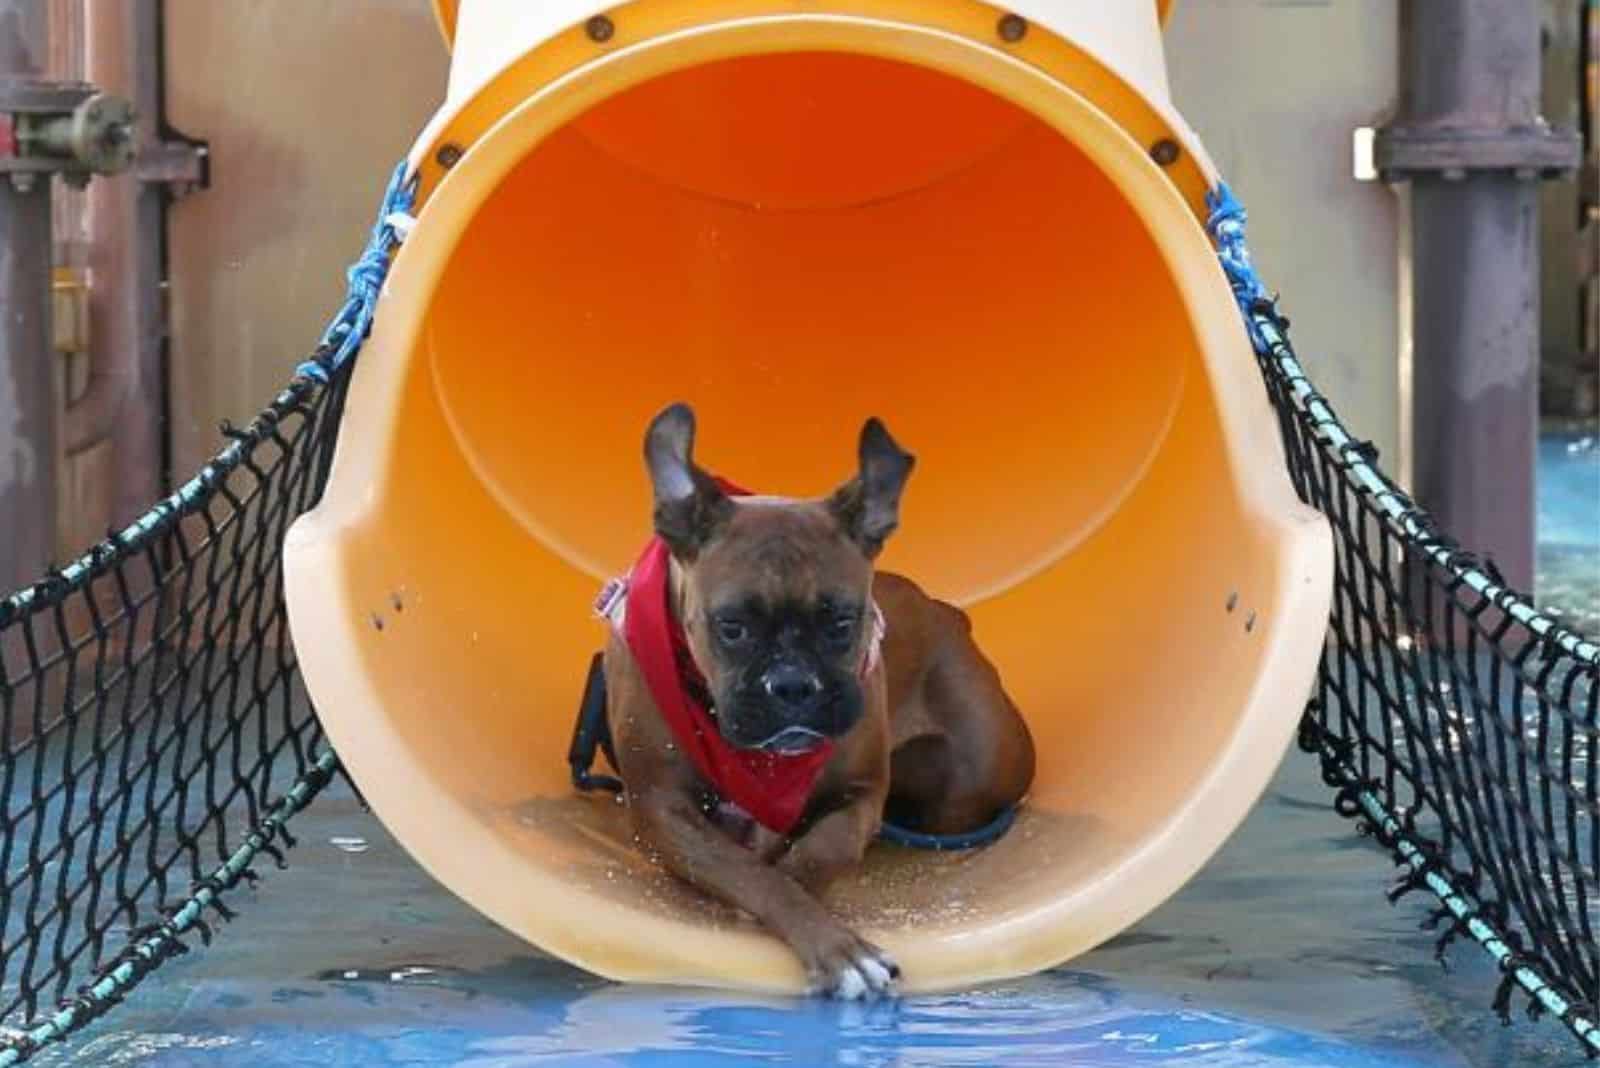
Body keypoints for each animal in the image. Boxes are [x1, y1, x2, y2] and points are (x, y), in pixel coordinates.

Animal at [601, 404, 1036, 997]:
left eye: (843, 621)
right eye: (731, 626)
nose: (793, 686)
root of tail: (945, 611)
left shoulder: (863, 794)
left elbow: (823, 848)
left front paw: (814, 908)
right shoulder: (660, 808)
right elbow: (750, 872)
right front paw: (830, 941)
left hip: (975, 777)